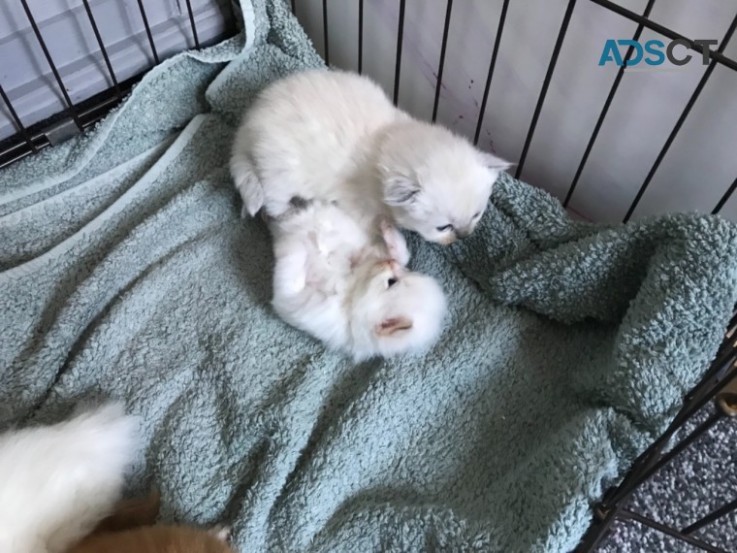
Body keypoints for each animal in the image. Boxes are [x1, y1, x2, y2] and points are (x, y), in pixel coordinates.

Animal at [230, 67, 512, 244]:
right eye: (444, 227)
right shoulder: (359, 204)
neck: (388, 138)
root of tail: (247, 125)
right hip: (281, 173)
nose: (464, 236)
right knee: (272, 200)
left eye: (476, 216)